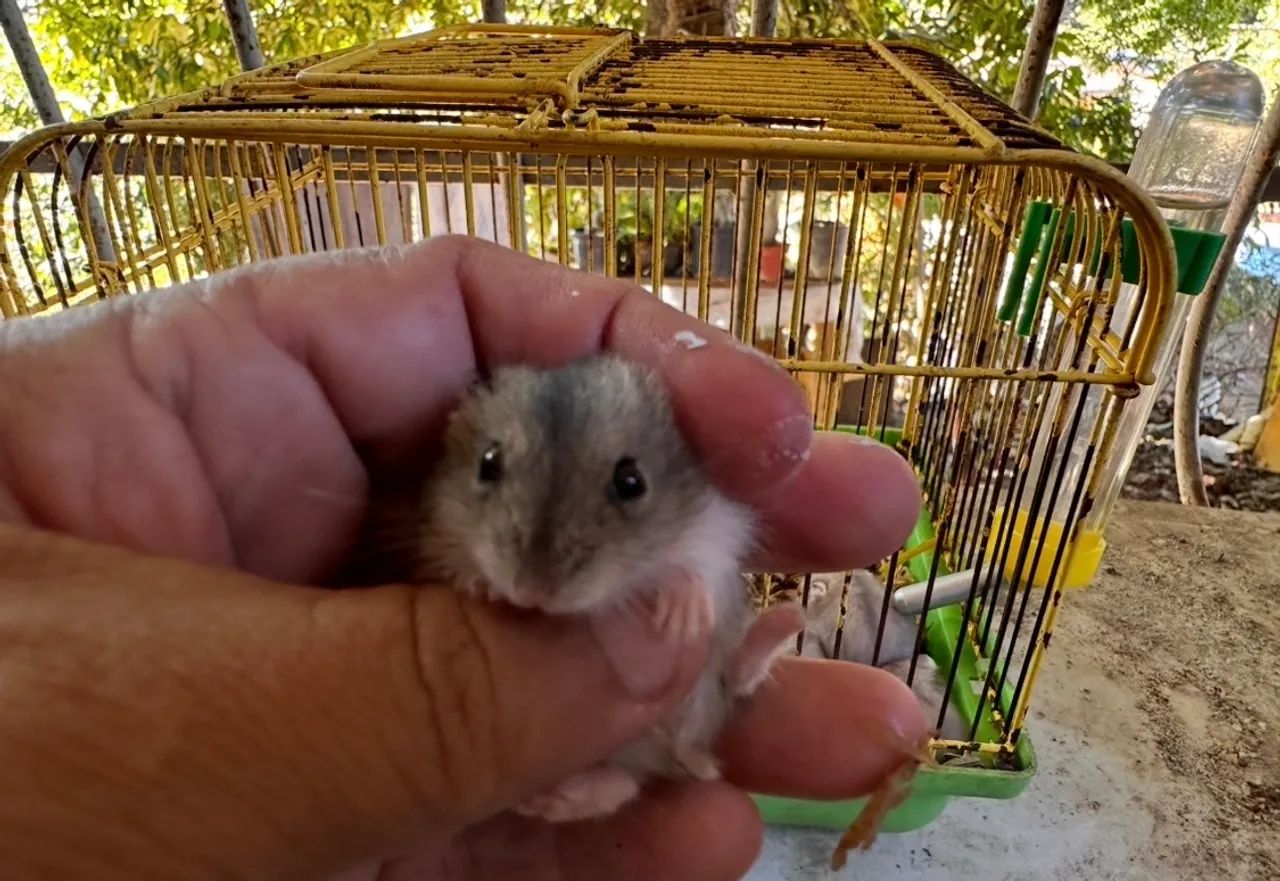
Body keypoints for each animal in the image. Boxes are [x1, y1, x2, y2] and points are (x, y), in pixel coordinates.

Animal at [417, 353, 801, 823]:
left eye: (631, 481)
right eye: (487, 464)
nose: (533, 593)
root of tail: (677, 754)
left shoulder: (717, 527)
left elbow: (693, 561)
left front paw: (681, 613)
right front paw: (479, 586)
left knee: (737, 674)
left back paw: (786, 620)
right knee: (623, 783)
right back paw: (547, 800)